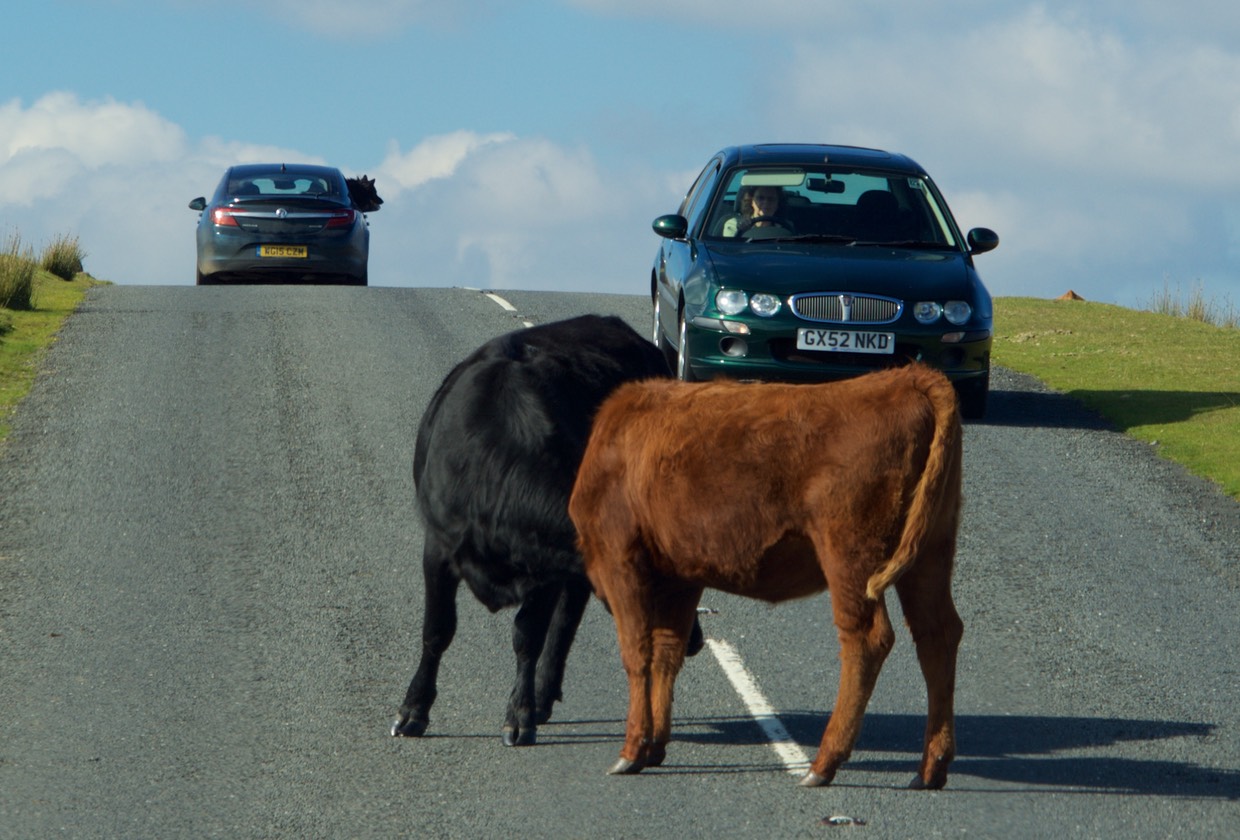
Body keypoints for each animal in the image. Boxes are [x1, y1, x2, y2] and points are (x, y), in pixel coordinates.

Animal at [391, 314, 702, 746]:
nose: (694, 643)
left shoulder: (547, 569)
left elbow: (529, 636)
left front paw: (520, 715)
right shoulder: (437, 549)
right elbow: (437, 630)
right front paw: (413, 710)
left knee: (565, 623)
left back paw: (542, 695)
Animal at [568, 364, 964, 789]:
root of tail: (908, 377)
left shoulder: (621, 560)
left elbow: (637, 653)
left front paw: (631, 750)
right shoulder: (680, 578)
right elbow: (666, 653)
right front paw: (655, 744)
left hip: (851, 556)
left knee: (868, 638)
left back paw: (824, 762)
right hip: (930, 552)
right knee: (937, 634)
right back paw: (930, 768)